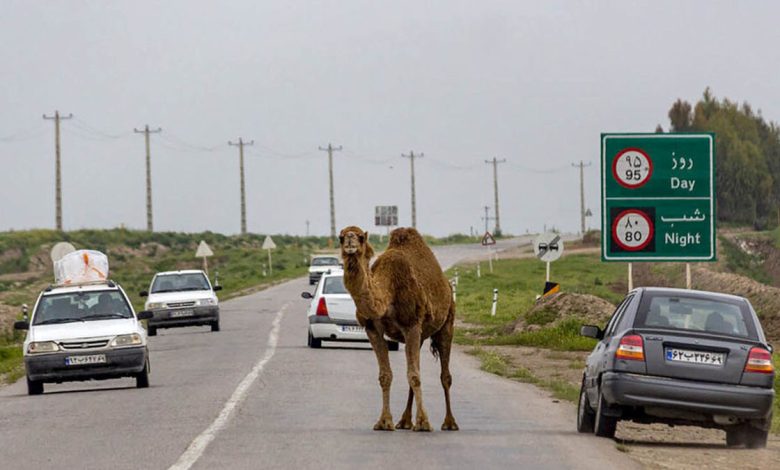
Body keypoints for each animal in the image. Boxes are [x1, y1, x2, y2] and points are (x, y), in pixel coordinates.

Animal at [340, 226, 458, 432]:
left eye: (361, 237)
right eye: (340, 237)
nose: (350, 240)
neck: (387, 295)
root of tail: (447, 284)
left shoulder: (411, 324)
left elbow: (415, 375)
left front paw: (423, 423)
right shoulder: (372, 329)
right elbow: (386, 375)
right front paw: (384, 422)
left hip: (447, 322)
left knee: (445, 375)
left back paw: (449, 423)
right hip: (421, 335)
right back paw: (404, 421)